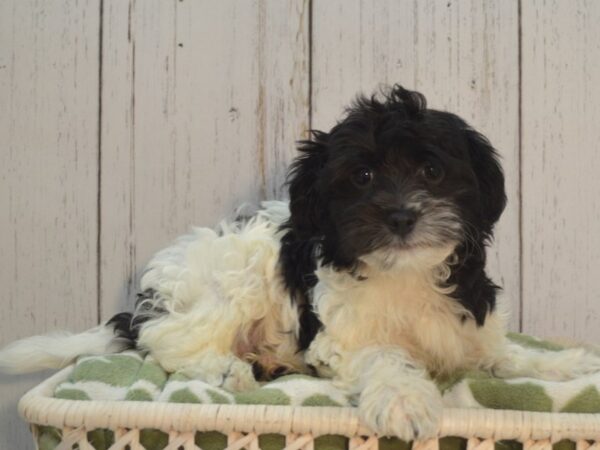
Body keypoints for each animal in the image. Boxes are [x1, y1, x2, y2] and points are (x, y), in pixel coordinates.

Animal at [1, 85, 600, 440]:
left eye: (432, 171)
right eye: (362, 176)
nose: (401, 215)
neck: (404, 274)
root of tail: (143, 303)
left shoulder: (468, 326)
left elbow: (503, 355)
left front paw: (566, 365)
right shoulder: (341, 337)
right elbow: (386, 355)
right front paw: (405, 401)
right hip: (224, 286)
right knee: (166, 346)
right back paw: (230, 370)